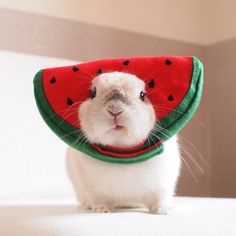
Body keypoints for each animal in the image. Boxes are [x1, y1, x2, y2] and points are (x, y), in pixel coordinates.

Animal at [66, 71, 181, 214]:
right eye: (93, 93)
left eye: (142, 95)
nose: (115, 109)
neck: (122, 154)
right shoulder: (95, 190)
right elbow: (100, 200)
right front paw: (102, 210)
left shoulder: (162, 186)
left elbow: (159, 199)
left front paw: (163, 211)